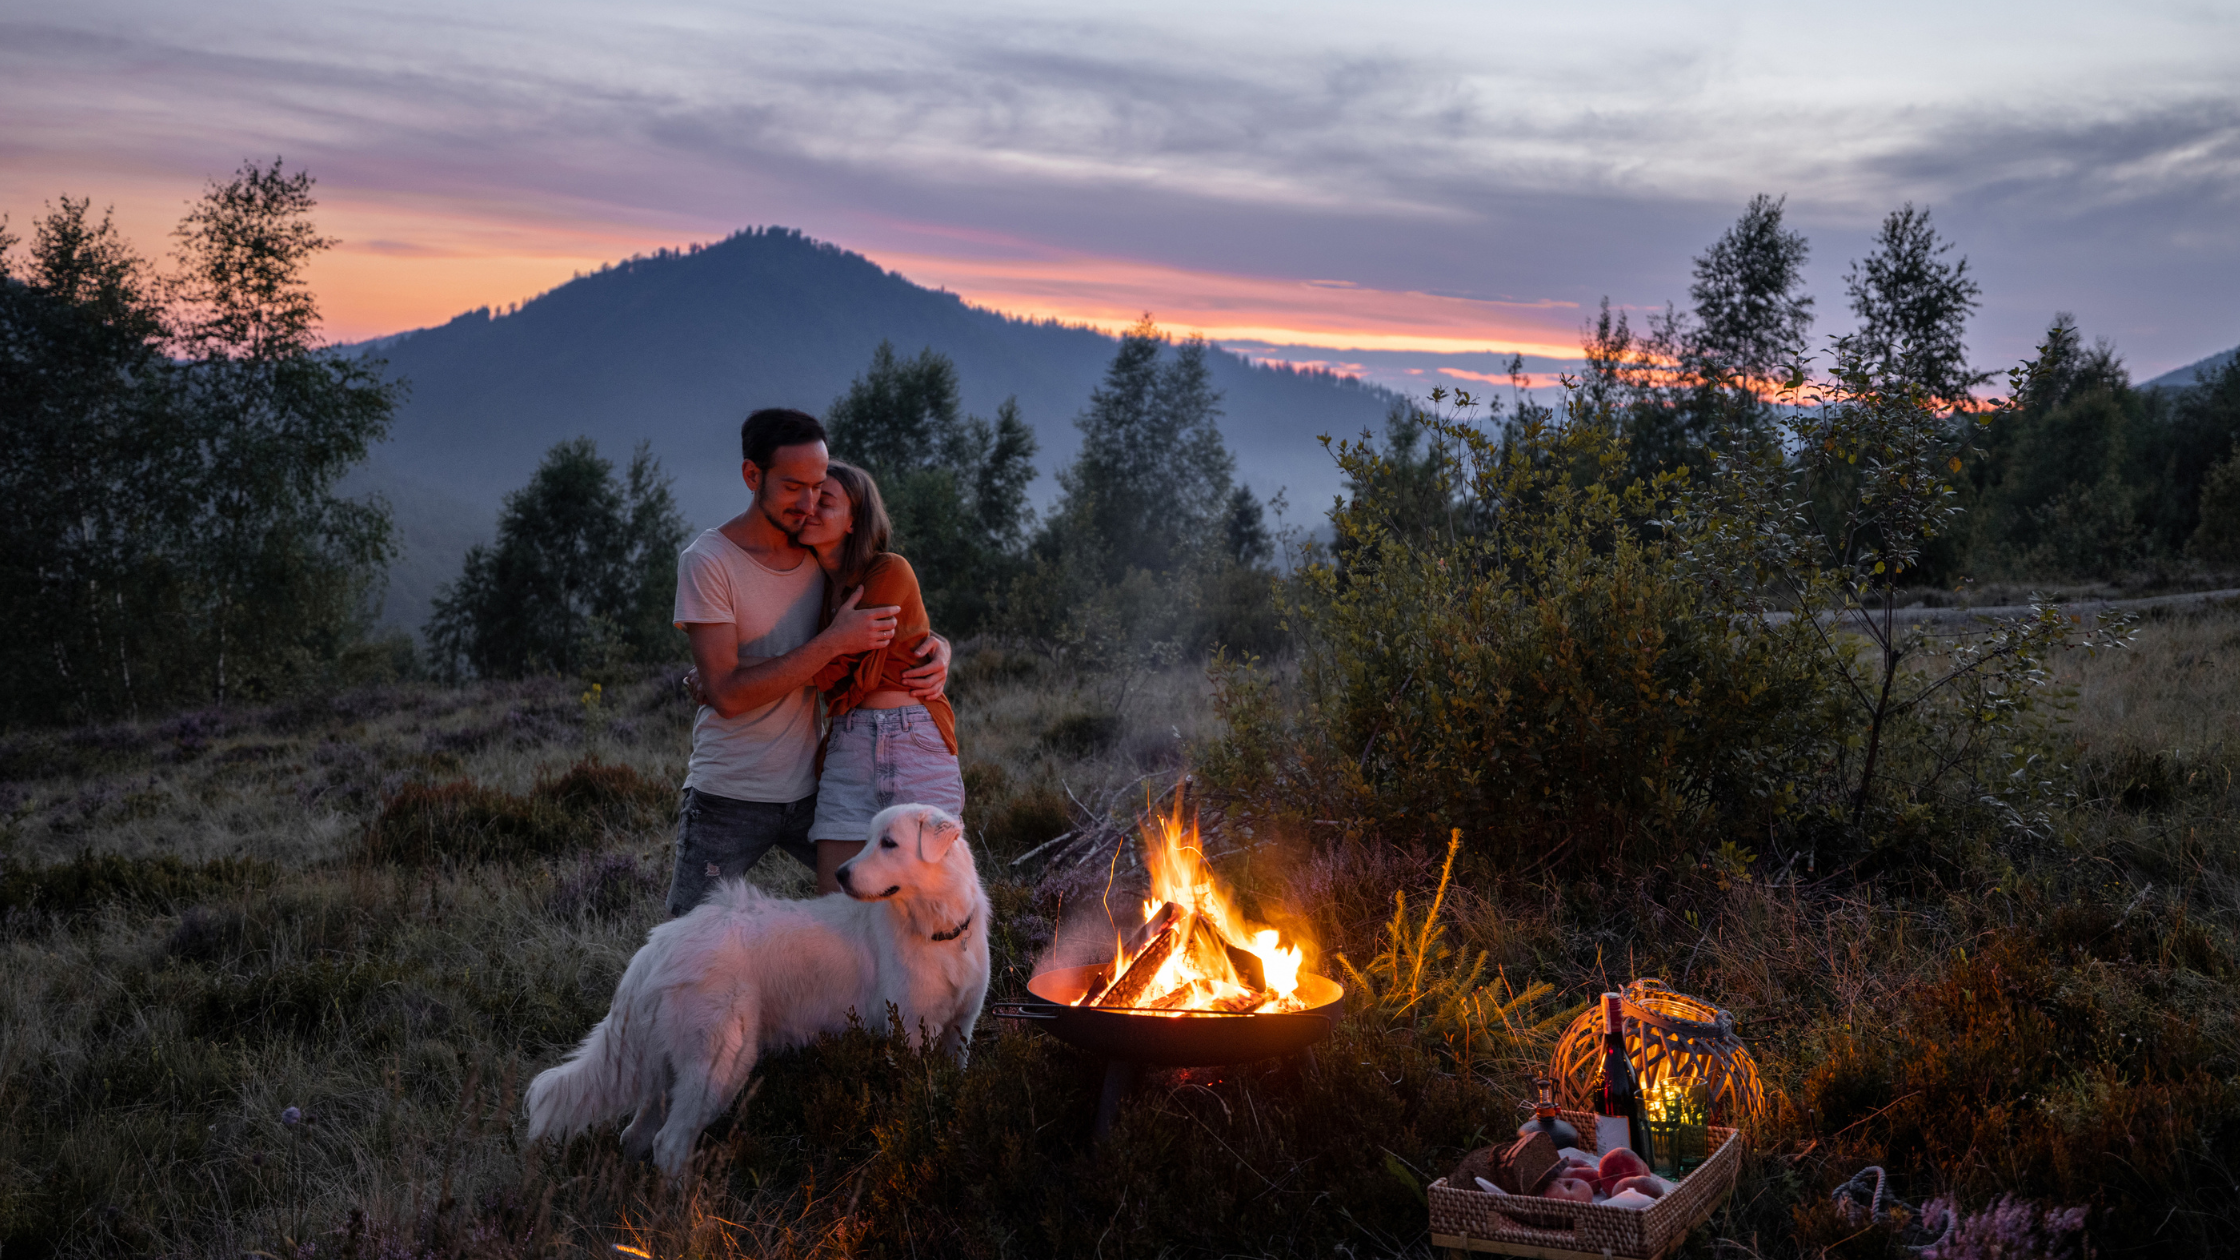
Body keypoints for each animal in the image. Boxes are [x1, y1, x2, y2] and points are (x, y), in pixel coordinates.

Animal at [524, 798, 990, 1174]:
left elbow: (955, 1082)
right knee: (668, 1144)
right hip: (722, 1062)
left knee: (637, 1133)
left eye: (889, 843)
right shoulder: (908, 1032)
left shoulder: (960, 1030)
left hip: (674, 1062)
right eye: (869, 840)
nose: (840, 874)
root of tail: (659, 942)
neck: (938, 929)